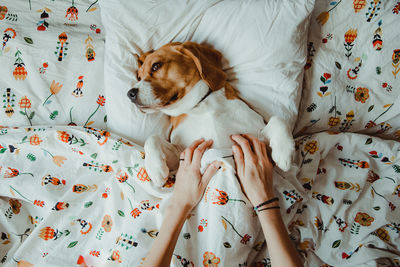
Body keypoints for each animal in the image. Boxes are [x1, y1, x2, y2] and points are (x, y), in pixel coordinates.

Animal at [126, 42, 296, 188]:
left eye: (156, 66)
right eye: (139, 77)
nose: (130, 94)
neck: (200, 105)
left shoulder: (257, 140)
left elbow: (278, 119)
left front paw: (284, 151)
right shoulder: (182, 154)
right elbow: (152, 138)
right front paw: (155, 168)